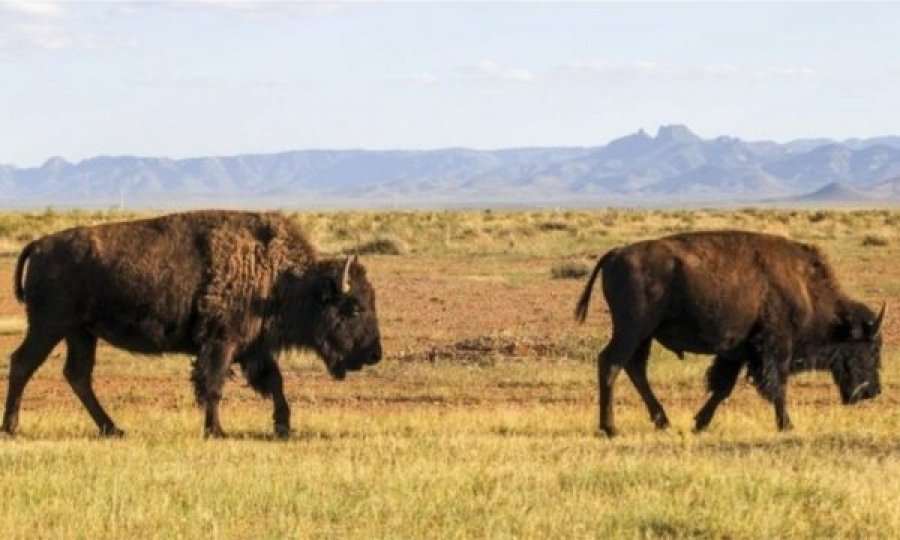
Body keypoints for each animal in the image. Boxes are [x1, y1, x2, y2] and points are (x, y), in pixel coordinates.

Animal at [0, 209, 382, 436]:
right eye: (354, 308)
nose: (374, 354)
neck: (278, 275)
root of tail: (40, 244)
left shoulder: (252, 348)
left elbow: (274, 382)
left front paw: (284, 427)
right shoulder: (221, 344)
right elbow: (213, 385)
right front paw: (217, 431)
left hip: (80, 333)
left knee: (77, 375)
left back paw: (113, 429)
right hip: (50, 327)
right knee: (23, 364)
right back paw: (12, 428)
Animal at [572, 230, 884, 436]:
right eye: (868, 347)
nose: (872, 392)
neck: (805, 289)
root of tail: (616, 253)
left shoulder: (737, 353)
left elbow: (723, 388)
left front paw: (700, 423)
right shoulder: (775, 349)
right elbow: (777, 387)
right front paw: (787, 425)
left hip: (643, 336)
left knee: (635, 368)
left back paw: (662, 421)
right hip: (632, 331)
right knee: (611, 364)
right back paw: (611, 428)